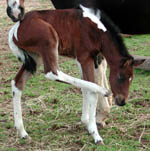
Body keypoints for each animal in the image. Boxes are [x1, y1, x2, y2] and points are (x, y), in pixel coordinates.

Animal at [8, 5, 144, 144]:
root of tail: (17, 26)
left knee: (17, 83)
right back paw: (103, 91)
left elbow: (86, 86)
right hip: (48, 40)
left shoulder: (91, 59)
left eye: (131, 79)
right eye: (120, 77)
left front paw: (86, 122)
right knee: (52, 73)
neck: (96, 31)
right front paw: (95, 133)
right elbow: (91, 89)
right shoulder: (84, 58)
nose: (122, 101)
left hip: (35, 58)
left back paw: (22, 132)